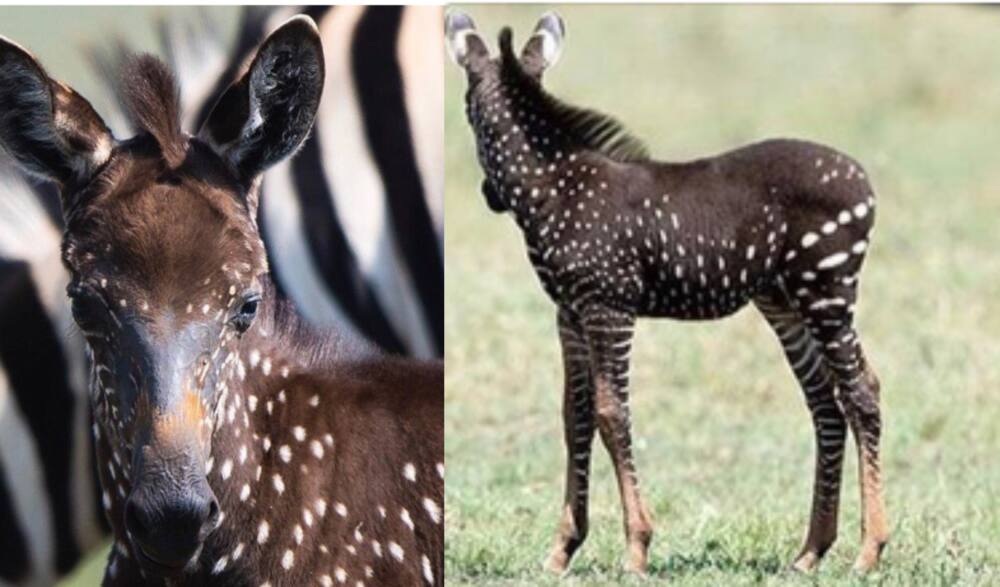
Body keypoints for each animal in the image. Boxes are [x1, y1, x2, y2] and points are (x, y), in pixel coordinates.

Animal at [450, 10, 888, 580]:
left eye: (467, 113)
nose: (487, 197)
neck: (557, 188)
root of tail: (862, 177)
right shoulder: (569, 313)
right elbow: (575, 416)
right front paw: (562, 549)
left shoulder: (608, 306)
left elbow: (612, 414)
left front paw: (636, 548)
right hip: (785, 302)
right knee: (826, 403)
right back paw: (811, 550)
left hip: (827, 290)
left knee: (862, 394)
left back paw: (869, 550)